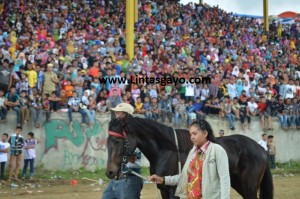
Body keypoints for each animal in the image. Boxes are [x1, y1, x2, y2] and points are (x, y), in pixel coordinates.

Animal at [105, 116, 272, 199]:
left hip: (249, 187)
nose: (110, 172)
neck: (167, 150)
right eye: (107, 141)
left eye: (117, 140)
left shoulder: (173, 191)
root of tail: (261, 149)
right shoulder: (164, 189)